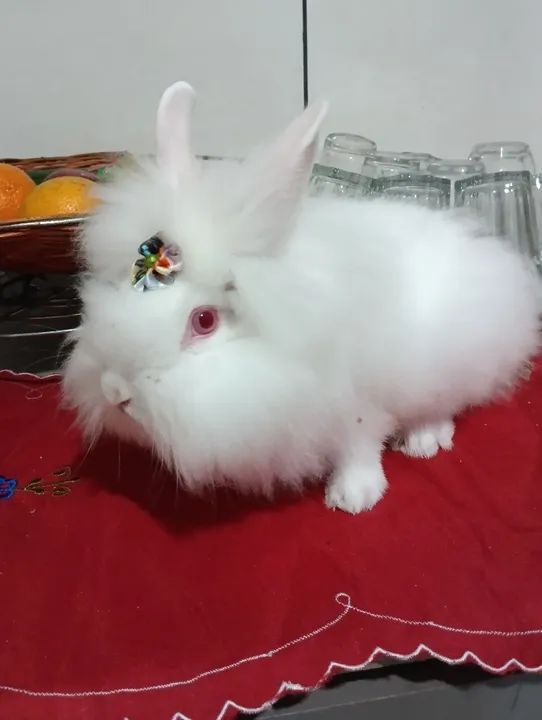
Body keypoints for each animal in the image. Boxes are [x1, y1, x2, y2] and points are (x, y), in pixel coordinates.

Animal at [63, 81, 542, 514]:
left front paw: (353, 497)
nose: (115, 391)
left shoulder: (356, 403)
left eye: (204, 321)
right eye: (121, 287)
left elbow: (360, 446)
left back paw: (424, 440)